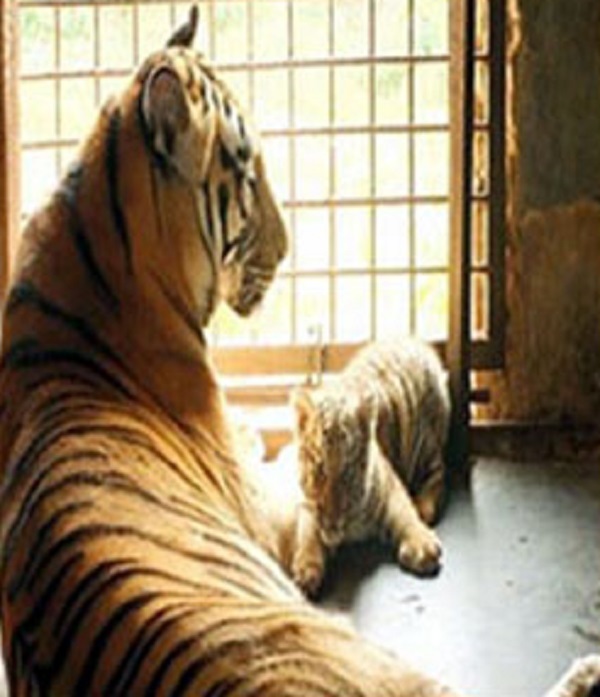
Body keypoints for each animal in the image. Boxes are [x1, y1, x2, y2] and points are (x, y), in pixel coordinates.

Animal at [290, 338, 449, 598]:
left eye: (347, 470)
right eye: (319, 467)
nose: (333, 521)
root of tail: (414, 342)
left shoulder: (389, 484)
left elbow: (404, 512)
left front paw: (423, 545)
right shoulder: (306, 502)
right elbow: (308, 532)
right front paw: (306, 569)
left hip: (425, 447)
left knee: (439, 475)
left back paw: (424, 507)